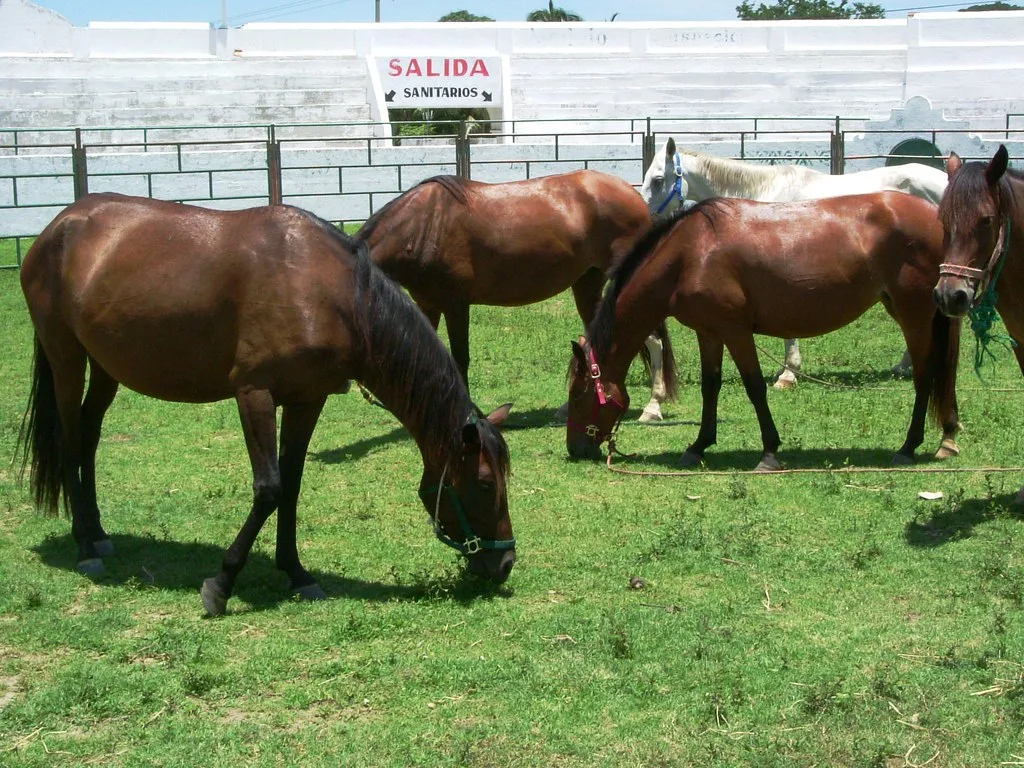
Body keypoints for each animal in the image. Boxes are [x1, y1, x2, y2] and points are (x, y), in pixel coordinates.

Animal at [17, 193, 517, 616]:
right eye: (485, 483)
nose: (506, 562)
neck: (328, 292)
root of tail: (60, 224)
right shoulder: (254, 395)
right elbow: (270, 488)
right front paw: (221, 584)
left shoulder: (307, 399)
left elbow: (291, 486)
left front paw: (296, 573)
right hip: (66, 357)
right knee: (69, 439)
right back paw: (85, 548)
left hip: (107, 366)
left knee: (88, 437)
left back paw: (99, 534)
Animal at [358, 171, 673, 422]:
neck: (423, 226)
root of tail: (634, 196)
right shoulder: (428, 304)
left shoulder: (456, 304)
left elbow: (460, 358)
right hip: (587, 284)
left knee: (653, 338)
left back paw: (652, 407)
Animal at [566, 193, 962, 471]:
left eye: (578, 394)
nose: (575, 449)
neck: (690, 255)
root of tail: (934, 215)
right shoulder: (709, 333)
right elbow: (711, 387)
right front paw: (698, 446)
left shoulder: (736, 331)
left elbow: (754, 387)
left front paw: (769, 451)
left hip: (914, 315)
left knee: (925, 377)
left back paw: (908, 447)